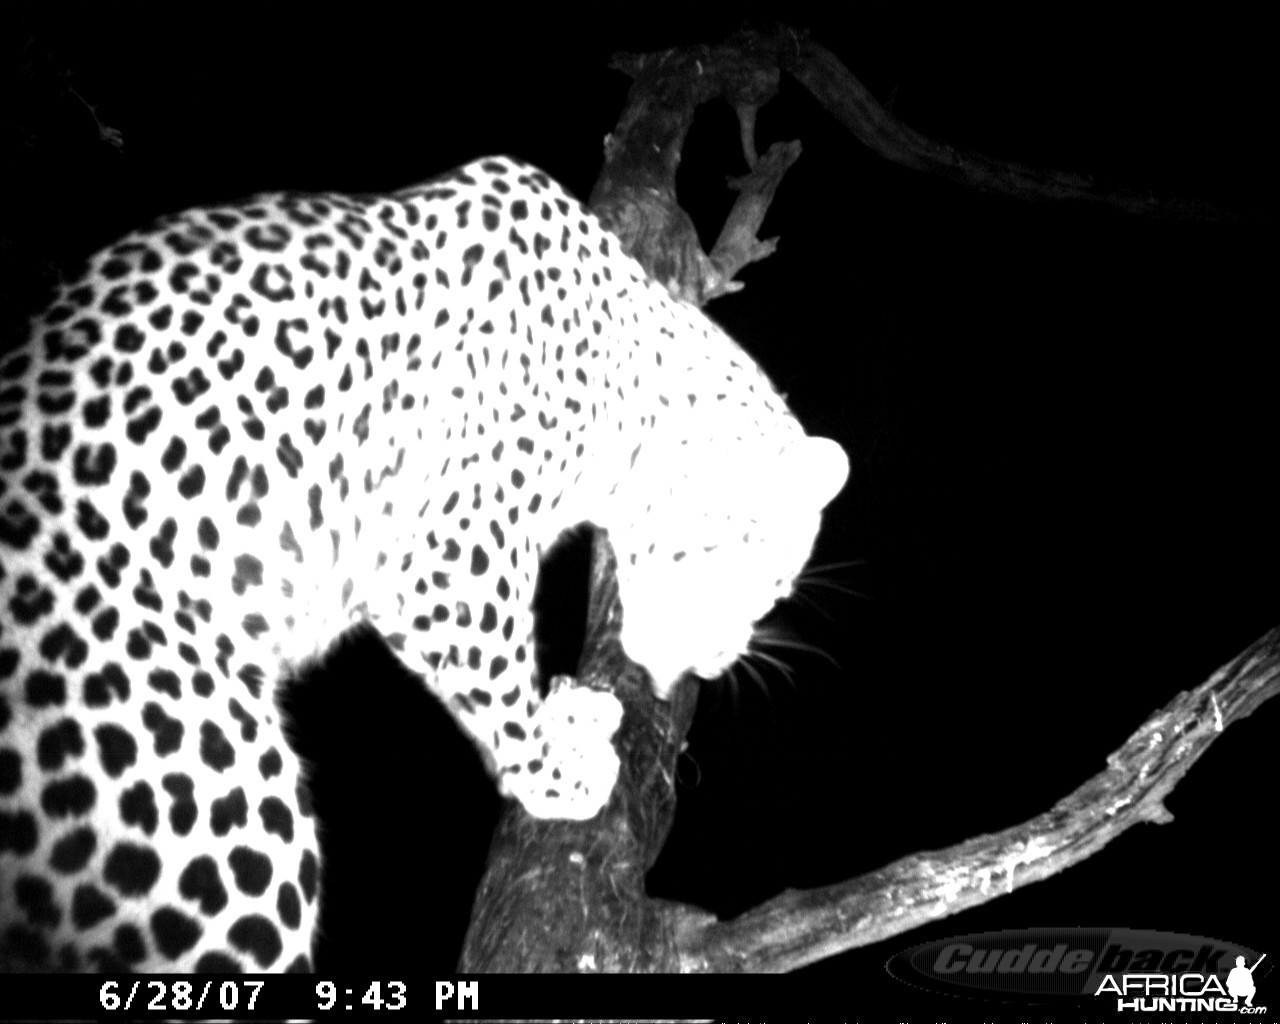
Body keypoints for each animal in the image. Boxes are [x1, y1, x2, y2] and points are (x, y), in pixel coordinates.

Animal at [2, 156, 849, 972]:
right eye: (763, 574)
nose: (717, 663)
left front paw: (572, 714)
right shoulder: (450, 554)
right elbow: (500, 684)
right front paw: (558, 773)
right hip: (228, 812)